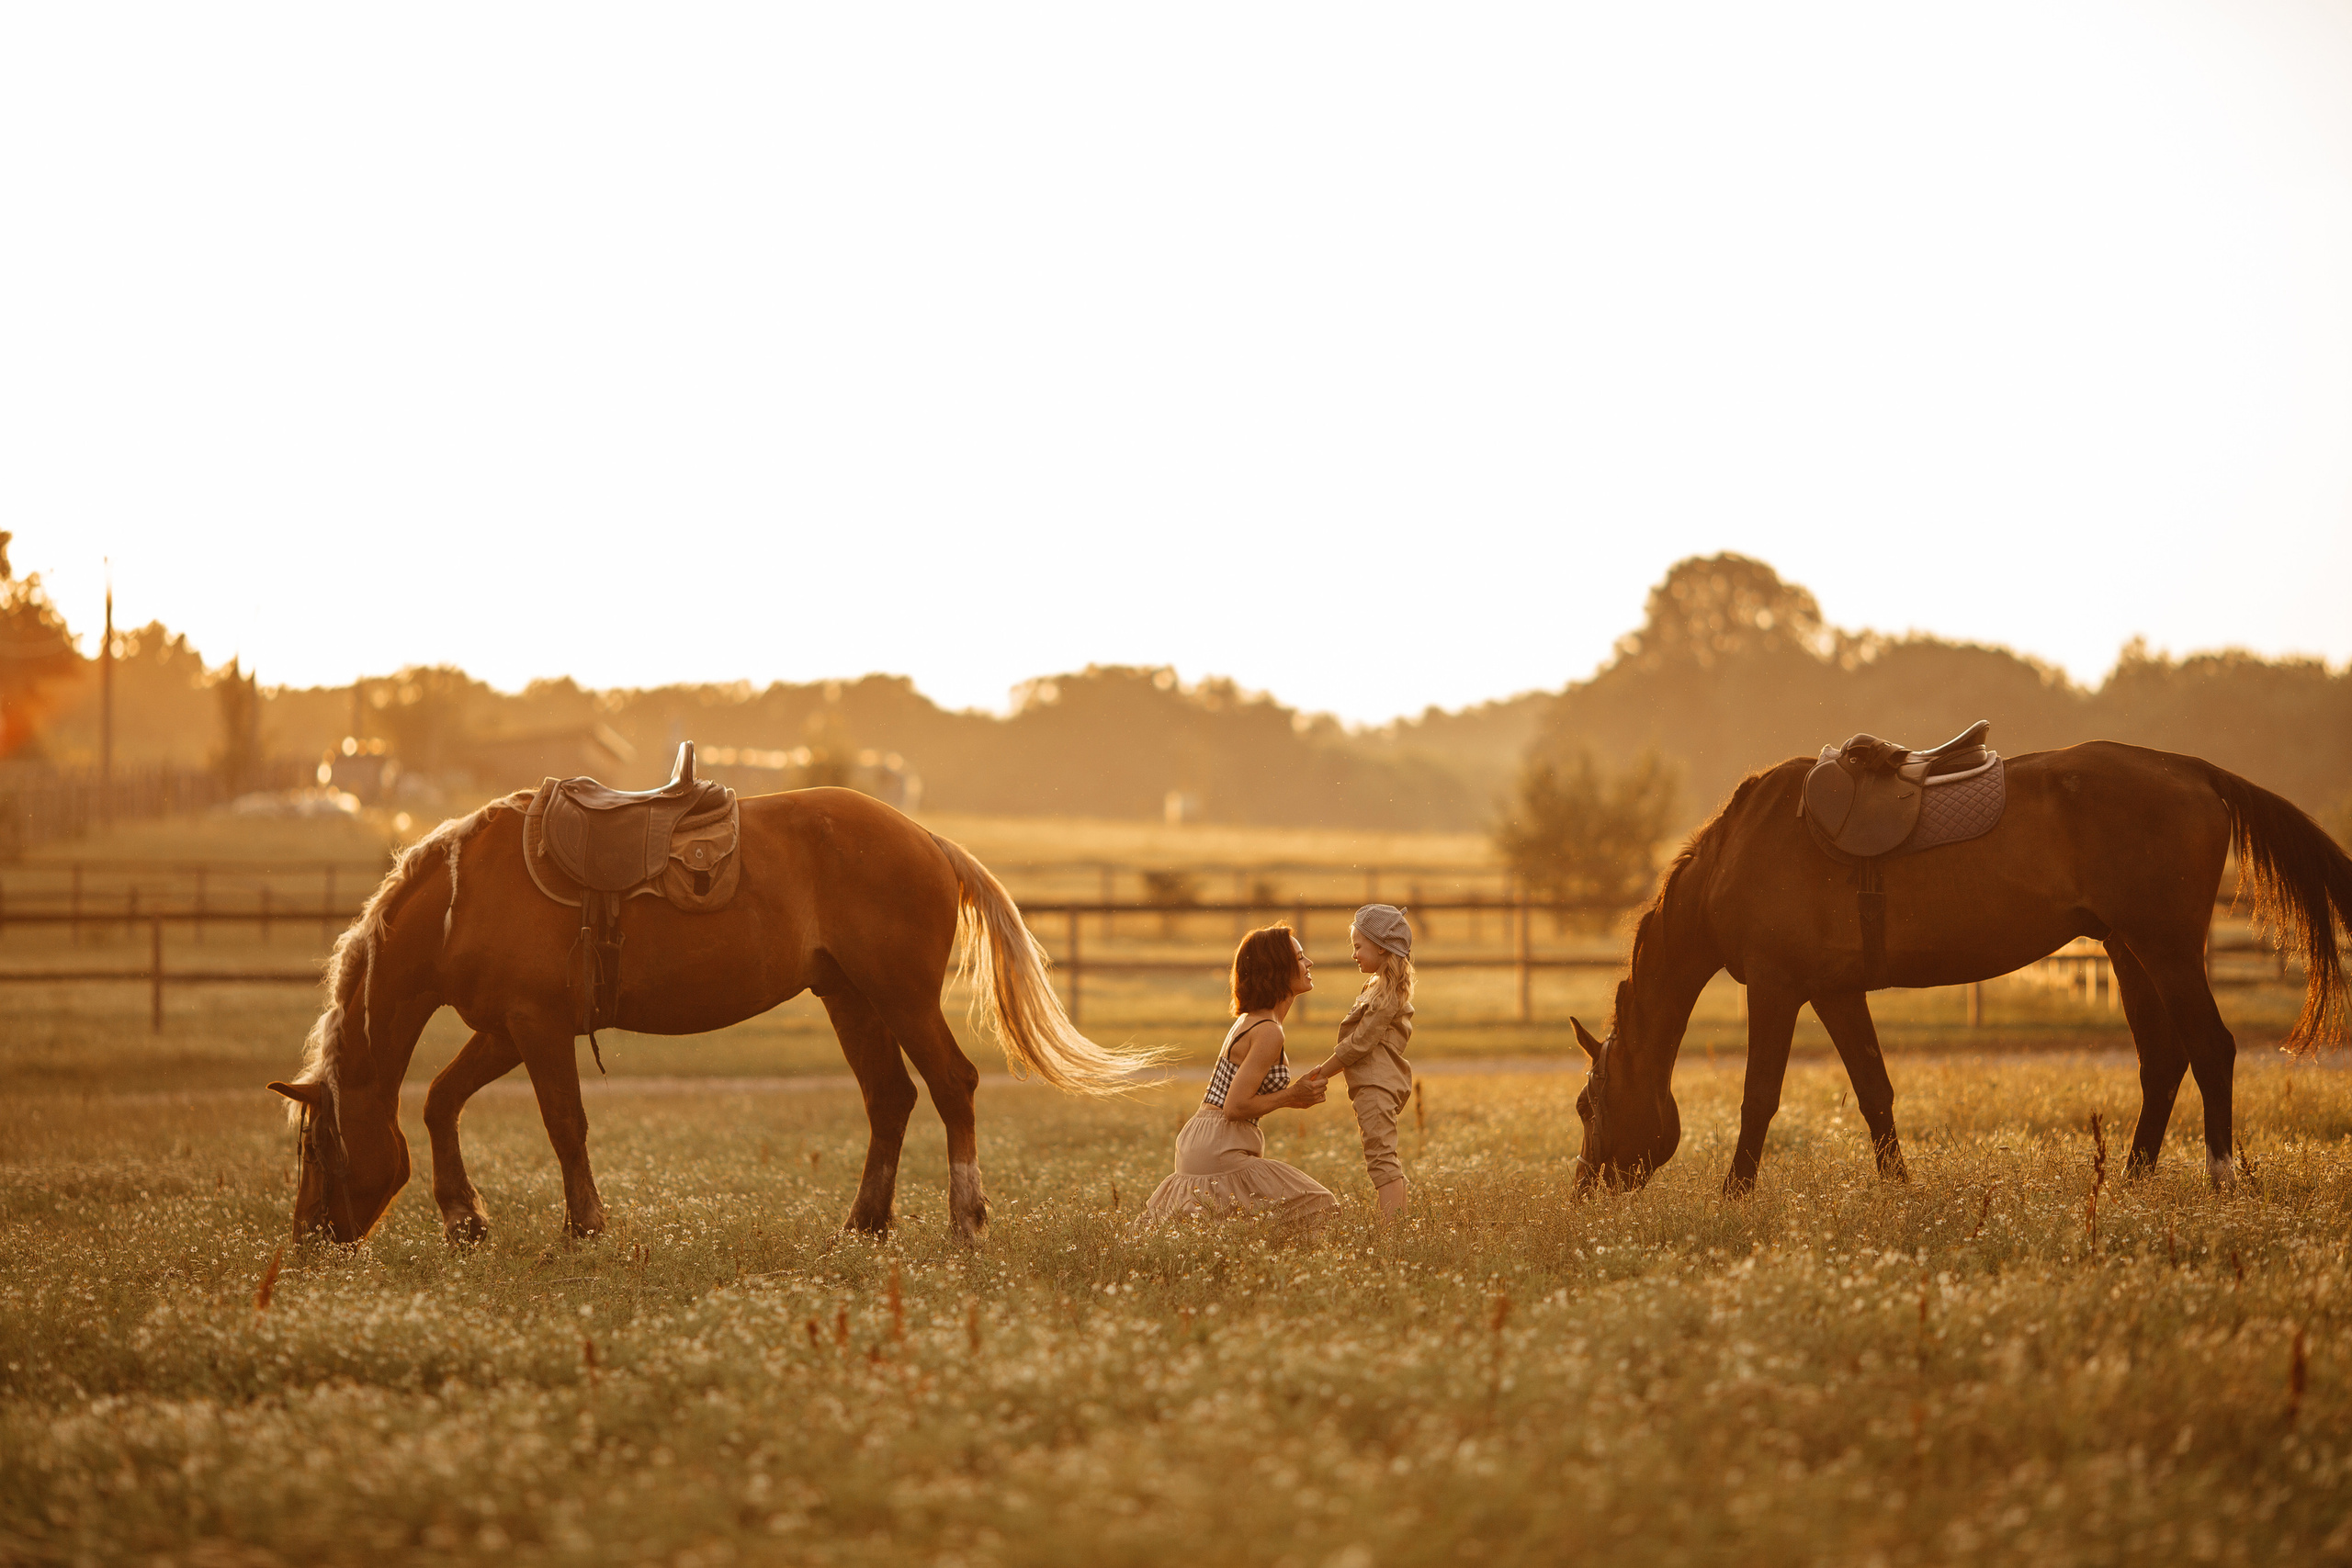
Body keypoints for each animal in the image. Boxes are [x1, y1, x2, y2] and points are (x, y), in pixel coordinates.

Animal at [266, 787, 1155, 1244]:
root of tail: (927, 838)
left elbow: (564, 1124)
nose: (310, 1235)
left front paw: (583, 1225)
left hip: (899, 996)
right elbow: (440, 1100)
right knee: (890, 1099)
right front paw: (464, 1217)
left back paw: (965, 1220)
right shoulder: (507, 1028)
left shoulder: (537, 1026)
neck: (464, 897)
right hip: (850, 999)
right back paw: (864, 1223)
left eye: (322, 1147)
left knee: (951, 1085)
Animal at [1568, 742, 2352, 1197]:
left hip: (2166, 949)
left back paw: (2219, 1179)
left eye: (1586, 1104)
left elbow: (1758, 1095)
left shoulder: (1777, 986)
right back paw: (2132, 1180)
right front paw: (1898, 1189)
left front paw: (1734, 1194)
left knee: (2212, 1048)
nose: (1584, 1190)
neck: (1741, 848)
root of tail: (2192, 771)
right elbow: (1874, 1090)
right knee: (2162, 1060)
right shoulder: (1834, 989)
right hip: (2129, 951)